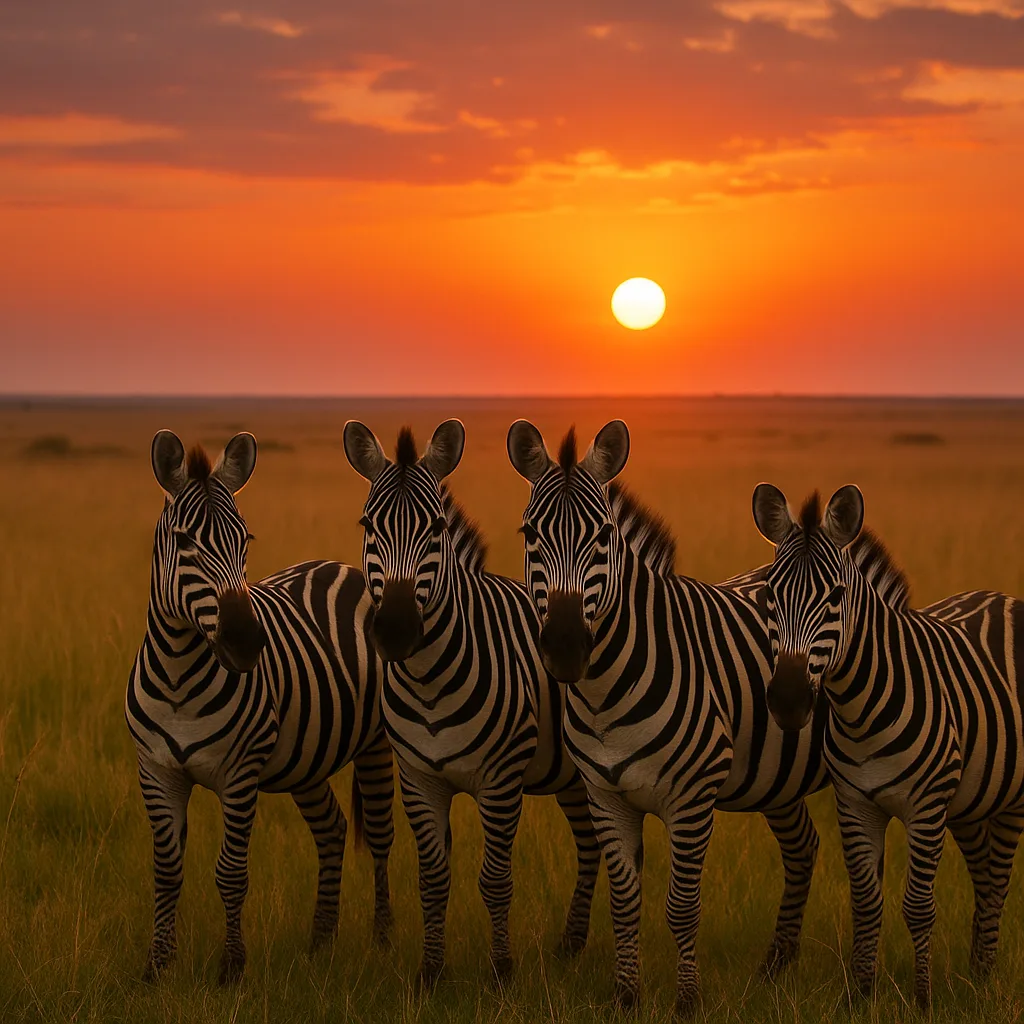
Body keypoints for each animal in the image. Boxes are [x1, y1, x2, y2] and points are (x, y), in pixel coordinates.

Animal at [125, 430, 394, 984]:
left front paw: (232, 968)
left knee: (379, 838)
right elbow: (166, 871)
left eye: (244, 540)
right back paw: (320, 943)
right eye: (185, 542)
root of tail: (344, 567)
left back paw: (381, 942)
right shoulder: (156, 772)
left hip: (375, 743)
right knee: (332, 829)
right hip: (306, 760)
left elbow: (230, 872)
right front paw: (157, 967)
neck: (179, 675)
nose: (247, 641)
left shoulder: (240, 773)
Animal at [343, 418, 599, 989]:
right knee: (592, 845)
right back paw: (572, 946)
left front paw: (502, 970)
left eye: (437, 528)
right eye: (367, 524)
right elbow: (433, 877)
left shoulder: (501, 780)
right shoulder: (419, 778)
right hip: (572, 777)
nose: (396, 630)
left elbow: (495, 878)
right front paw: (430, 972)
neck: (430, 681)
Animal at [506, 419, 829, 1017]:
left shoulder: (692, 799)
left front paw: (687, 1001)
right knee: (804, 848)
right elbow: (624, 900)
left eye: (603, 537)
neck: (607, 693)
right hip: (778, 780)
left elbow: (681, 907)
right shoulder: (606, 796)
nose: (564, 647)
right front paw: (626, 996)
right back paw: (775, 966)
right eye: (529, 534)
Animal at [752, 482, 1024, 1009]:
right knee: (984, 876)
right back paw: (977, 975)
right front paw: (861, 994)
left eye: (837, 596)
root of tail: (1003, 597)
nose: (788, 700)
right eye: (771, 595)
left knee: (998, 881)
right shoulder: (856, 803)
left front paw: (922, 999)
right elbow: (865, 901)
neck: (863, 711)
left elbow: (918, 906)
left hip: (1010, 797)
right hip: (971, 799)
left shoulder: (927, 806)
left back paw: (983, 976)